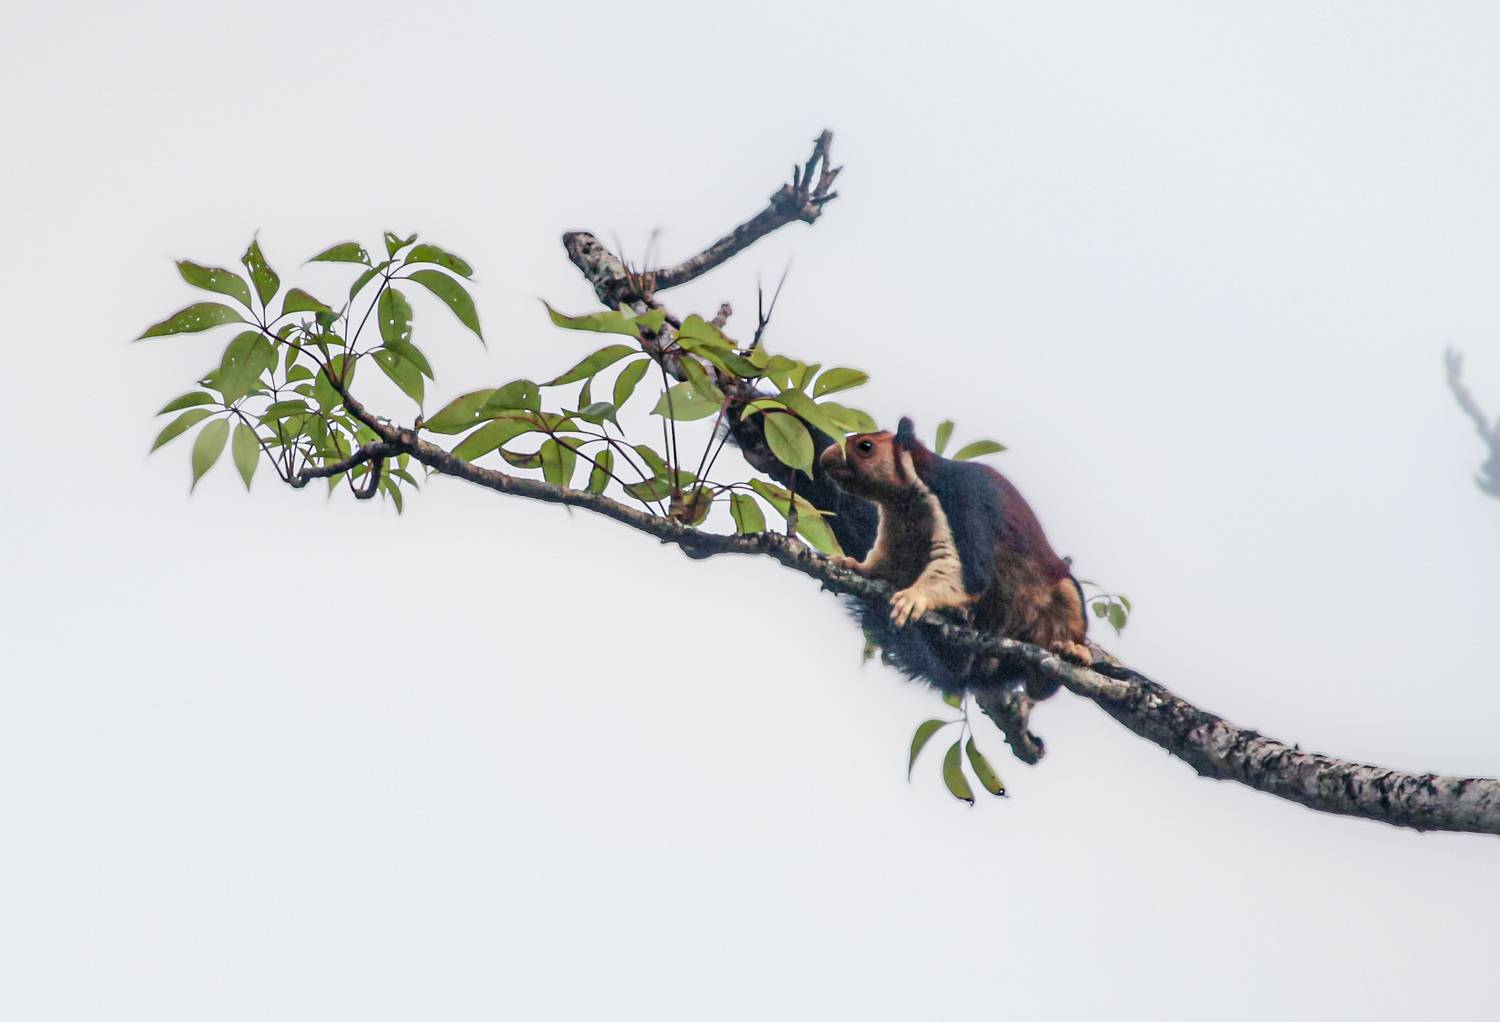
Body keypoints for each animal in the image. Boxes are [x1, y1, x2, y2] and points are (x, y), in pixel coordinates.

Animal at [818, 417, 1090, 695]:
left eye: (866, 446)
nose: (824, 458)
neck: (908, 496)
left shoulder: (964, 500)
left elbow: (969, 574)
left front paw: (914, 597)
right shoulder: (898, 528)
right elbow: (886, 564)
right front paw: (851, 563)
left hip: (1062, 602)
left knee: (1042, 686)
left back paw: (1072, 652)